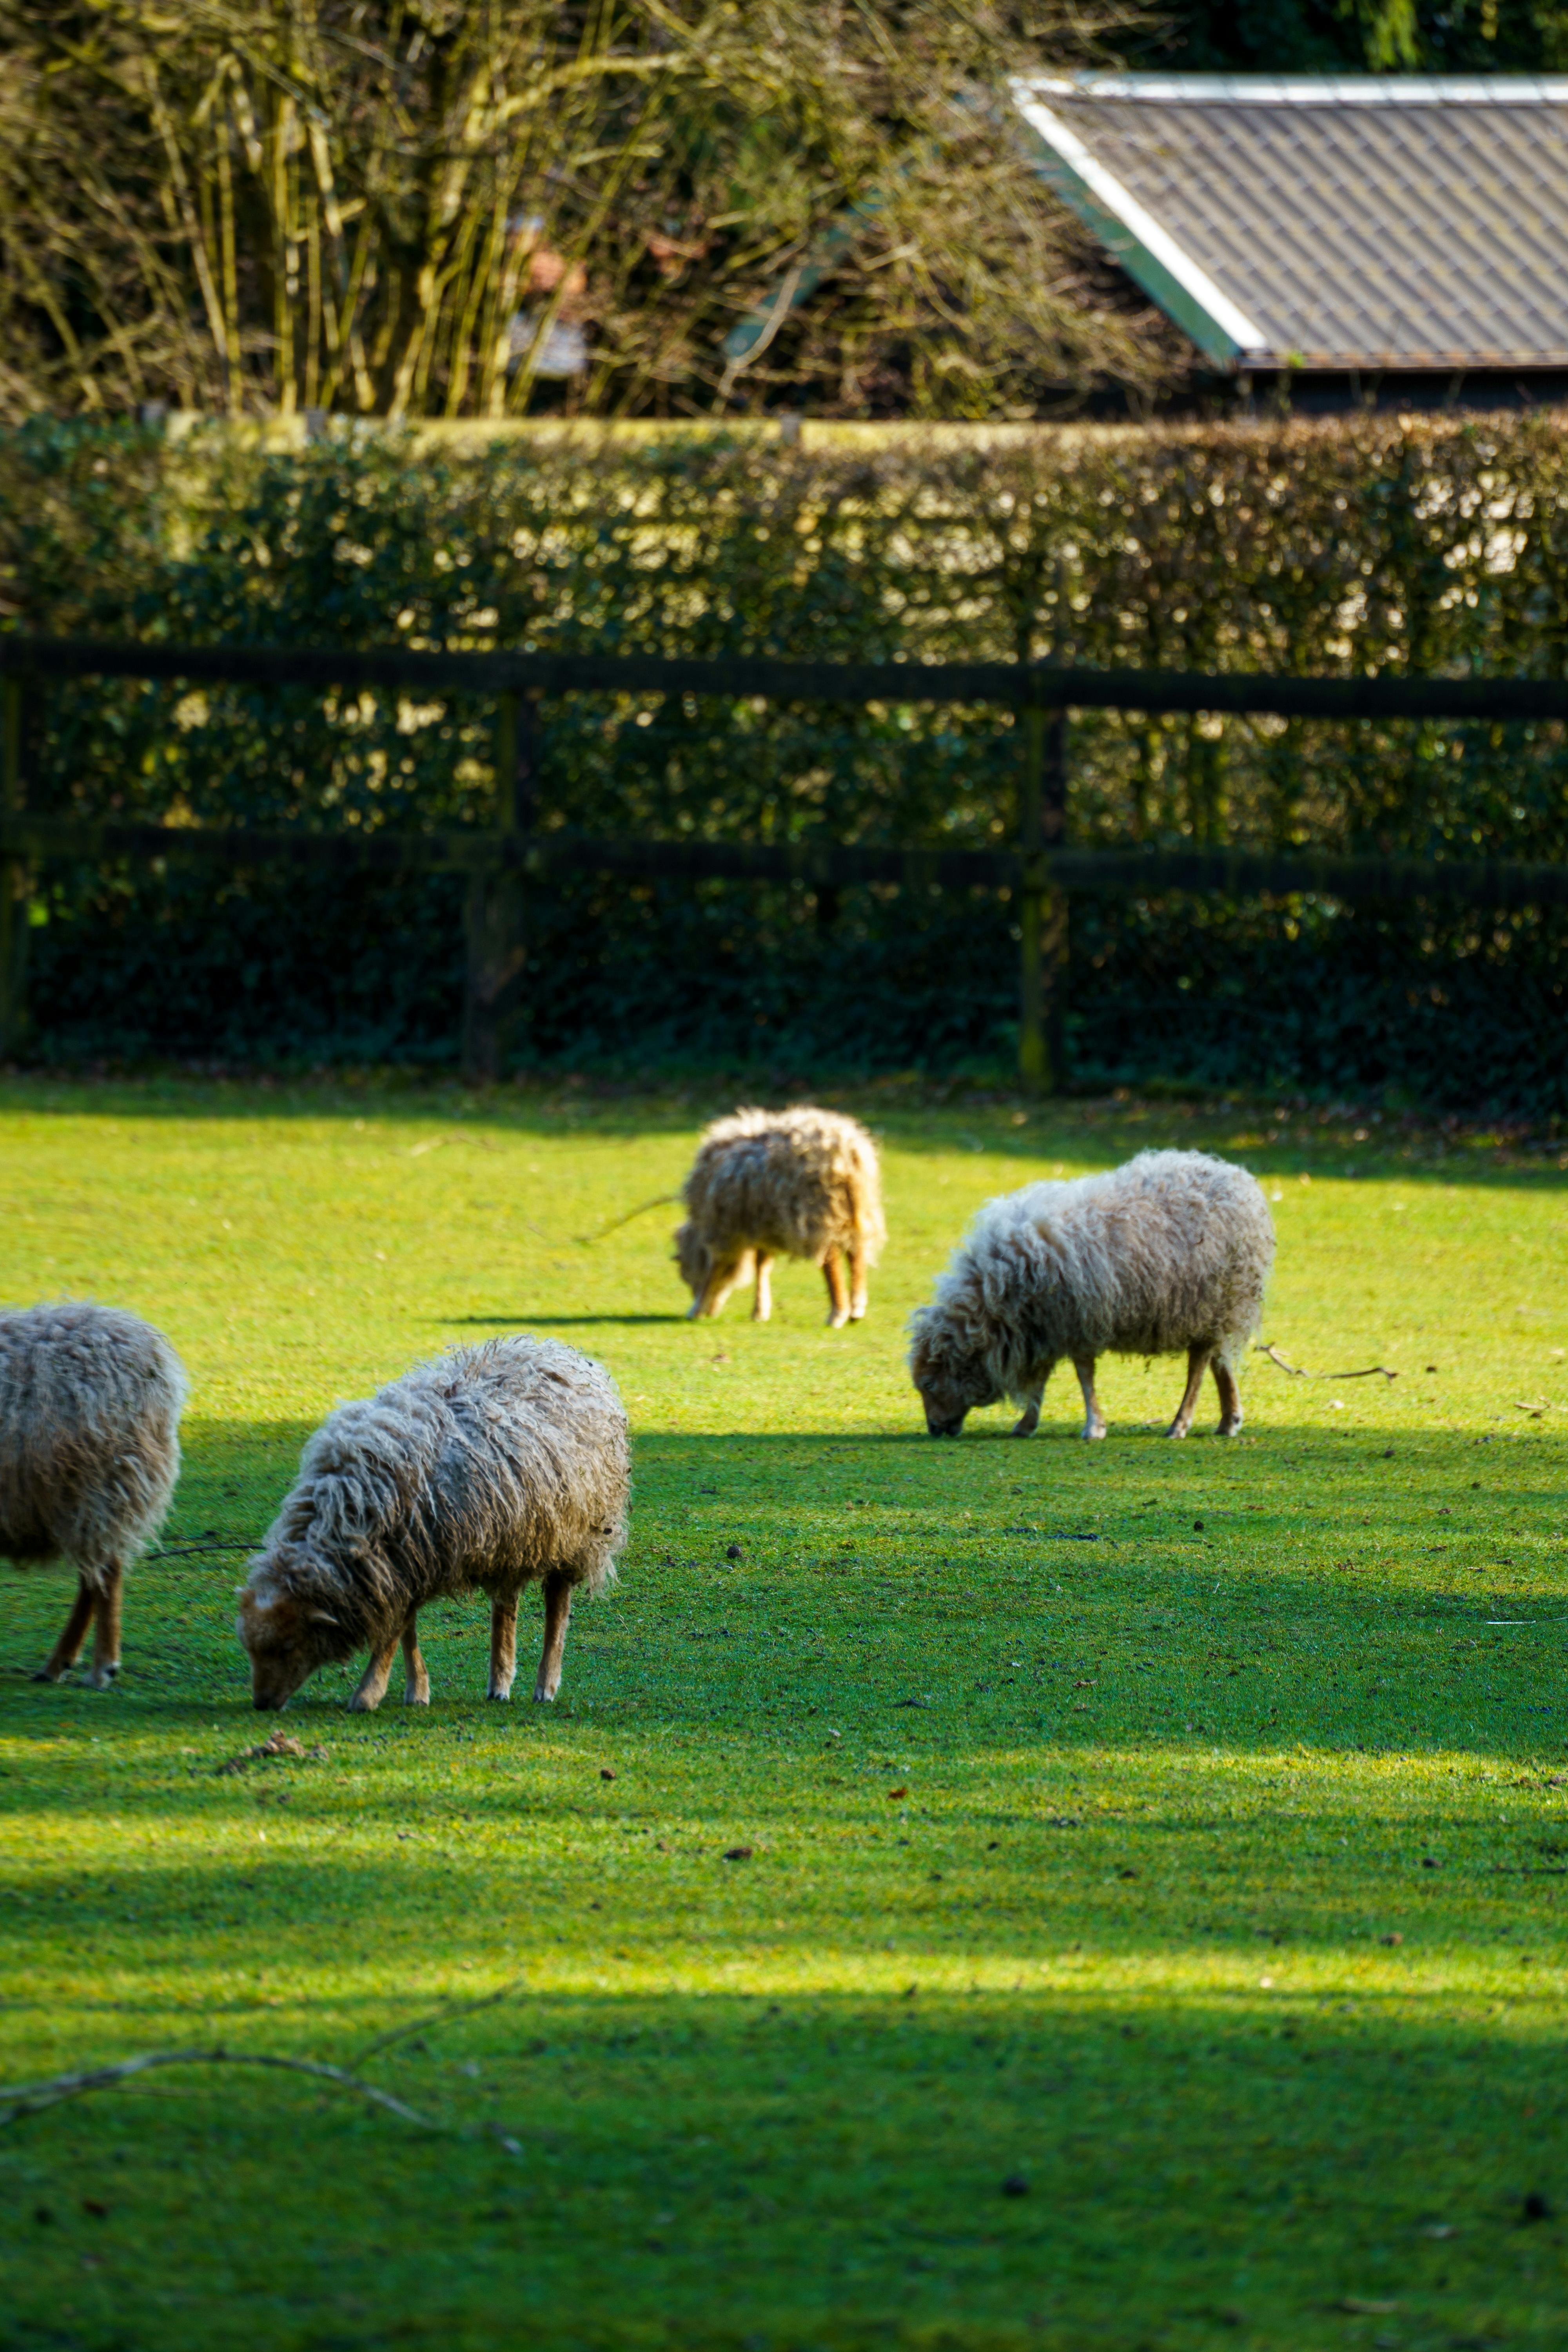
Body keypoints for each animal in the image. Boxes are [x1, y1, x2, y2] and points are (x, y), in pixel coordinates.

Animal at [236, 1335, 630, 1714]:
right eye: (249, 1647)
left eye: (289, 1646)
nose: (262, 1704)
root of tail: (561, 1351)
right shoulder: (404, 1565)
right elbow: (406, 1628)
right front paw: (416, 1691)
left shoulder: (407, 1559)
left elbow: (393, 1630)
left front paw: (368, 1694)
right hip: (513, 1535)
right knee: (506, 1606)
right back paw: (499, 1683)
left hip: (578, 1533)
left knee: (557, 1607)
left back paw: (545, 1685)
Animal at [675, 1105, 886, 1327]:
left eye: (688, 1272)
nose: (710, 1312)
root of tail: (848, 1150)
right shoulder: (762, 1226)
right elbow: (762, 1264)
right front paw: (760, 1311)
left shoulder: (723, 1226)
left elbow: (715, 1268)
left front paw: (696, 1309)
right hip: (856, 1210)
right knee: (856, 1253)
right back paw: (856, 1308)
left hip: (819, 1211)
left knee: (831, 1259)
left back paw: (838, 1313)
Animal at [908, 1149, 1274, 1442]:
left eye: (929, 1384)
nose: (934, 1430)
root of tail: (1241, 1181)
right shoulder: (1046, 1328)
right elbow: (1041, 1379)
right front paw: (1027, 1424)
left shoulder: (1078, 1320)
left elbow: (1084, 1376)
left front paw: (1094, 1427)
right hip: (1220, 1309)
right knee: (1220, 1359)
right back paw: (1229, 1420)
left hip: (1207, 1303)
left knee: (1198, 1365)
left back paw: (1180, 1424)